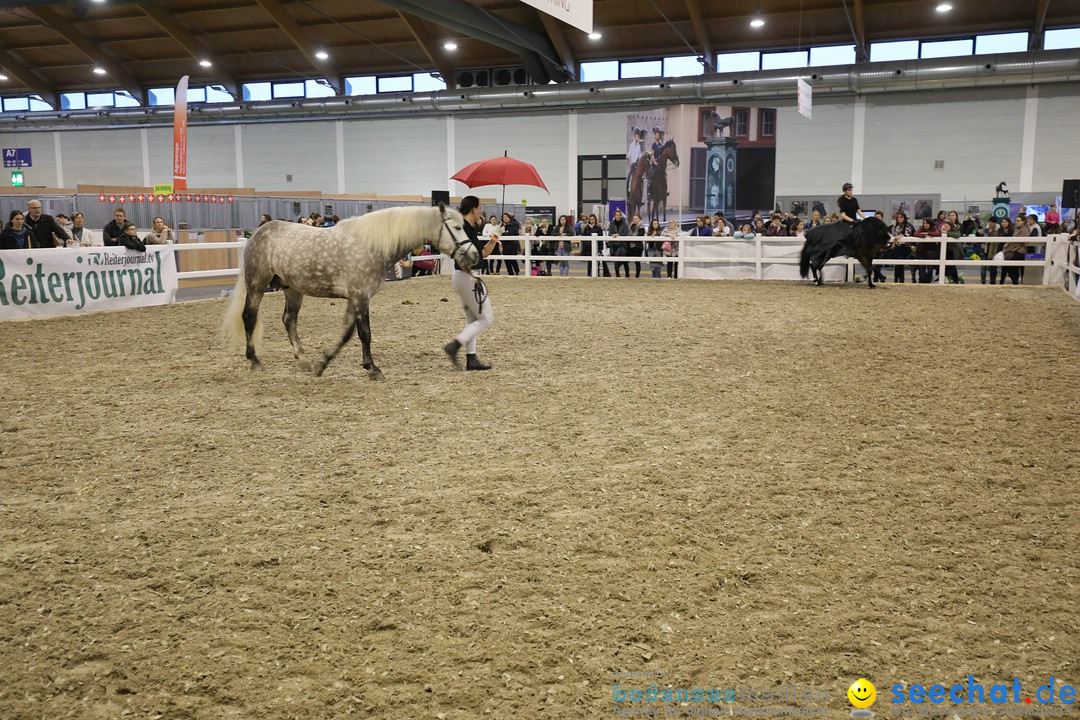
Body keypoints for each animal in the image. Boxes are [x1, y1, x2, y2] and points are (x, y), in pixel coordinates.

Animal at [222, 204, 477, 377]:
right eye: (457, 227)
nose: (474, 255)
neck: (373, 244)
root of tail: (258, 233)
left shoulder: (354, 298)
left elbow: (347, 334)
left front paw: (323, 363)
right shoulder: (360, 296)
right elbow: (365, 333)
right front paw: (373, 368)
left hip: (292, 289)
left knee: (289, 320)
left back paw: (304, 360)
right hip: (257, 285)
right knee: (249, 316)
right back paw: (255, 360)